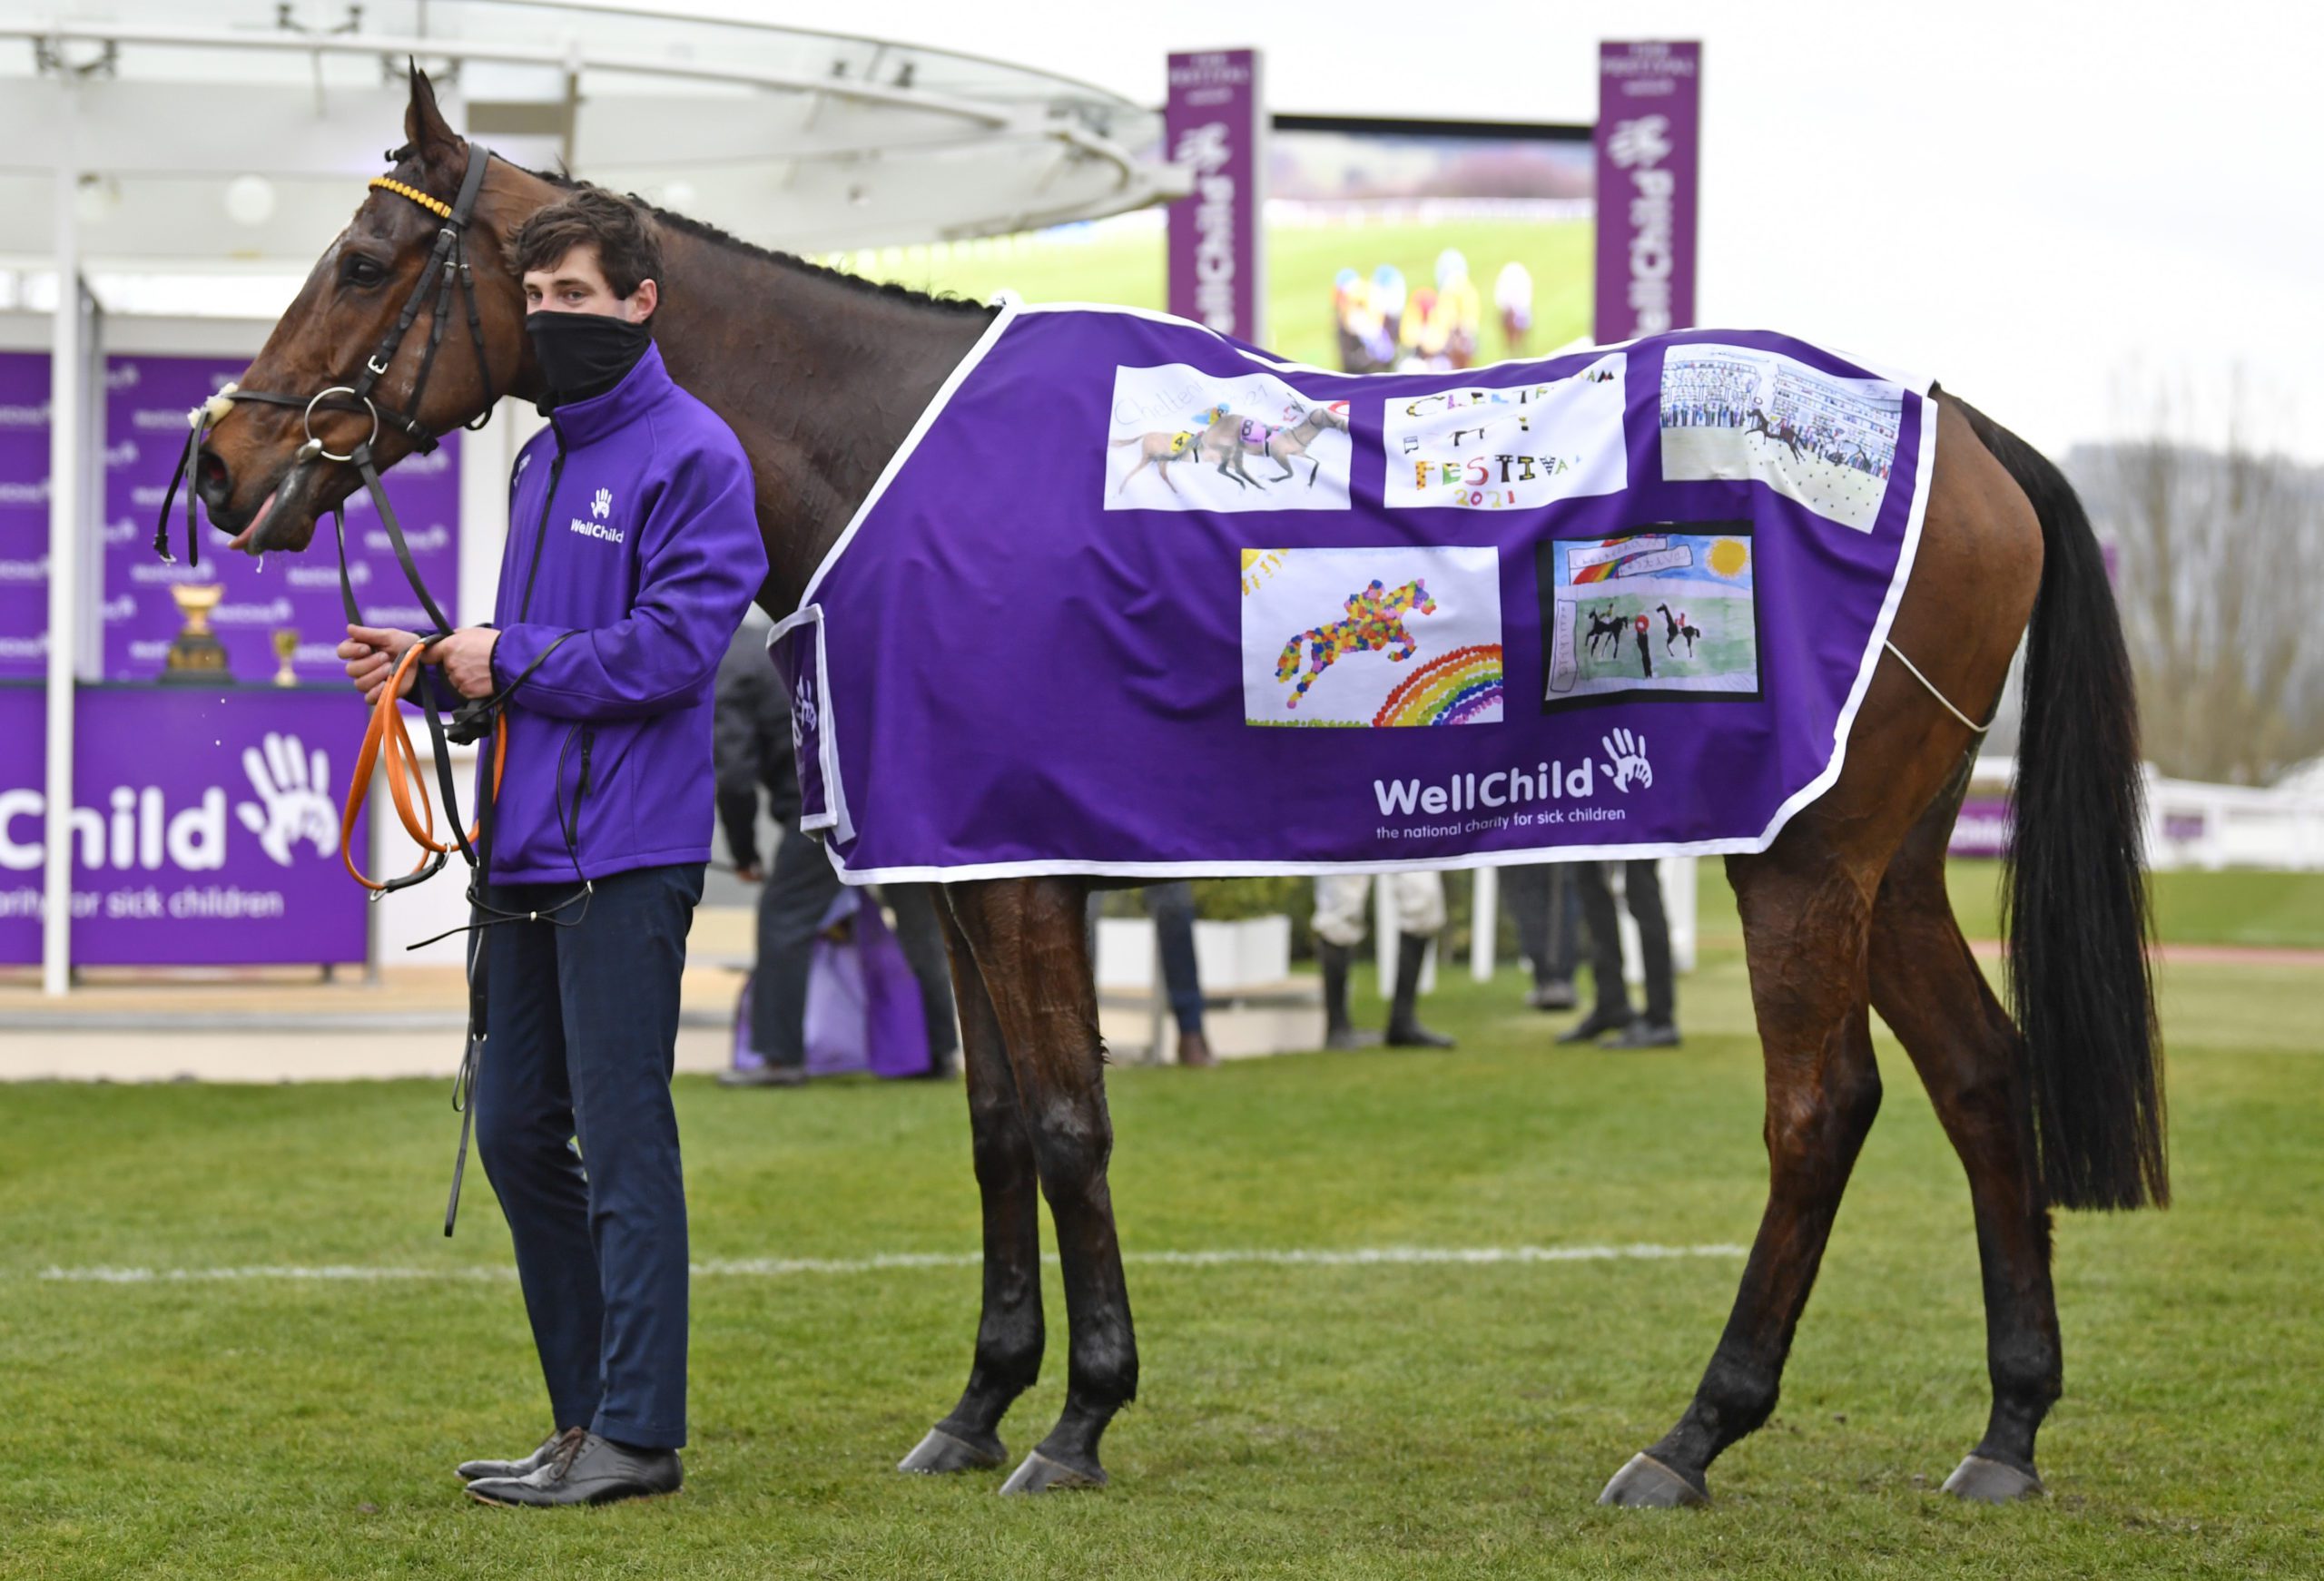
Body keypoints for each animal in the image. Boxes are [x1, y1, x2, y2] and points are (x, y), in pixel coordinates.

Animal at [190, 71, 2165, 1507]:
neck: (902, 454)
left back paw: (1693, 1434)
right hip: (1890, 854)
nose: (219, 458)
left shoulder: (1016, 870)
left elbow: (1069, 1122)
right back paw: (2004, 1431)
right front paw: (979, 1404)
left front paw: (1077, 1419)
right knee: (1982, 1080)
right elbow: (996, 1123)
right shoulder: (960, 867)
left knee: (1821, 1109)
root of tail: (1962, 426)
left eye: (362, 258)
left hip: (1800, 858)